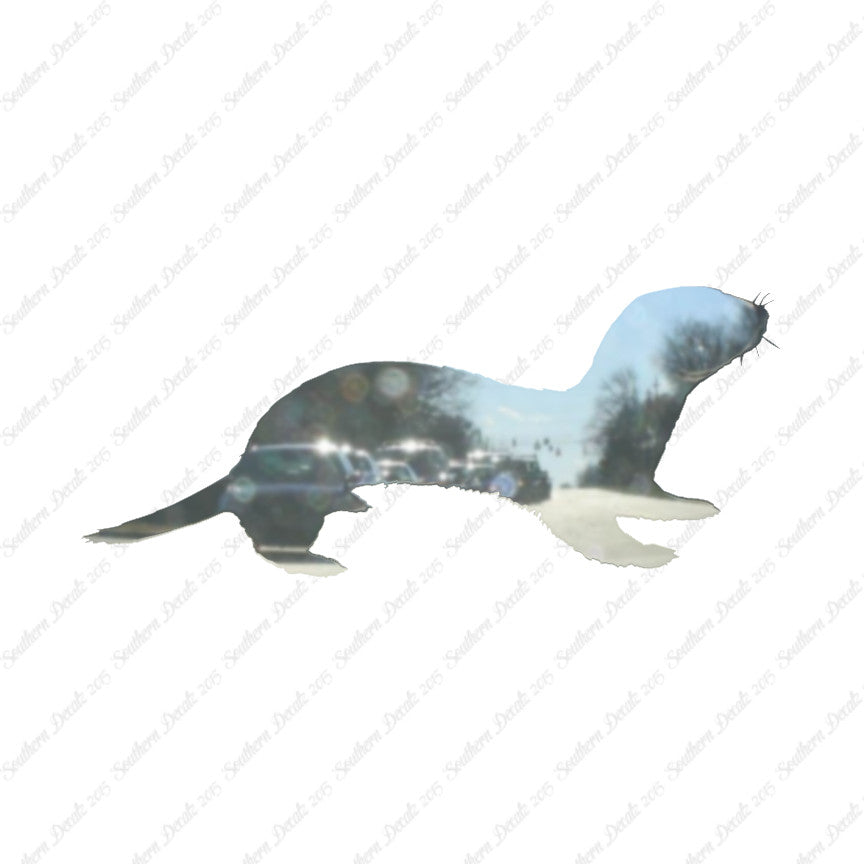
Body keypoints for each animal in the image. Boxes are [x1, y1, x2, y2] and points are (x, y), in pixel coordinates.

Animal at [85, 286, 771, 571]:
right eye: (720, 312)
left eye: (731, 291)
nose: (761, 309)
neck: (632, 425)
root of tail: (248, 455)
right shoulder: (566, 486)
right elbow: (598, 533)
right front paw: (648, 554)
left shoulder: (632, 473)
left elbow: (655, 498)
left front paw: (691, 507)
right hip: (298, 481)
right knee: (269, 536)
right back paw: (319, 563)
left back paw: (352, 505)